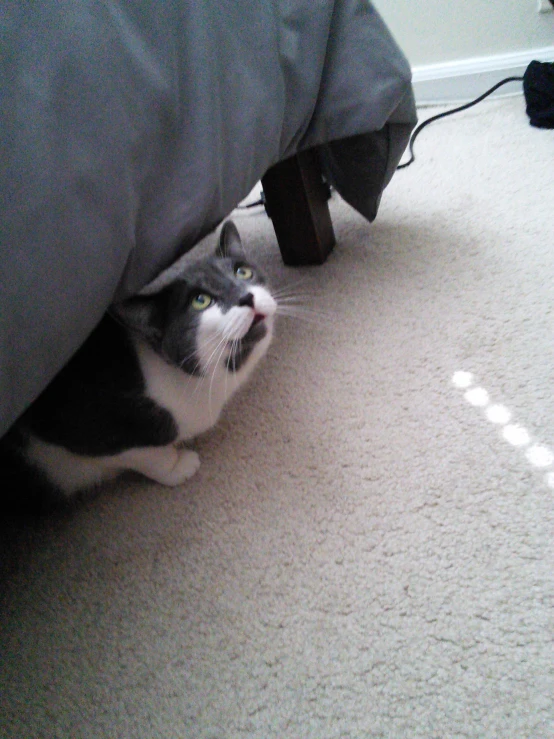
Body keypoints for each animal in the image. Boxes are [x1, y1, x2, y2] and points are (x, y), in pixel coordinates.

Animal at [0, 220, 276, 516]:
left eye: (243, 271)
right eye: (200, 301)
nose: (246, 296)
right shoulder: (79, 427)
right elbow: (147, 454)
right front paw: (178, 466)